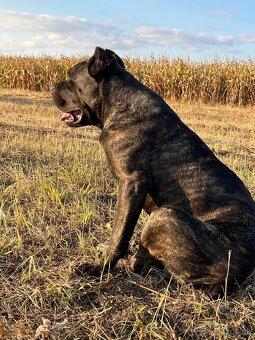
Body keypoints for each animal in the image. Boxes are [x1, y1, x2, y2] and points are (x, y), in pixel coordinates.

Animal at [51, 47, 255, 294]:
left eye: (71, 77)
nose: (51, 86)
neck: (118, 103)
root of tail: (238, 277)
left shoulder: (131, 184)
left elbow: (119, 234)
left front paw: (100, 268)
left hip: (164, 216)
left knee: (141, 264)